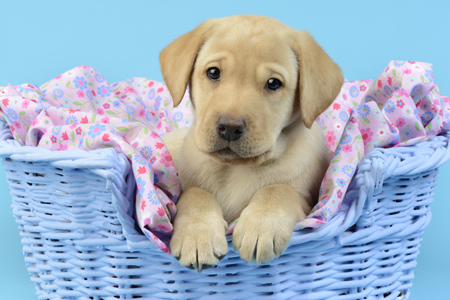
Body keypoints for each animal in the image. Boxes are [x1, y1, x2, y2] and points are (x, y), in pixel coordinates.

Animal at [160, 14, 342, 272]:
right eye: (213, 72)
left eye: (273, 83)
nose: (229, 127)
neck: (235, 169)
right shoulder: (185, 185)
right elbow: (194, 193)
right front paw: (197, 234)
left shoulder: (311, 204)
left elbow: (278, 189)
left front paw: (261, 225)